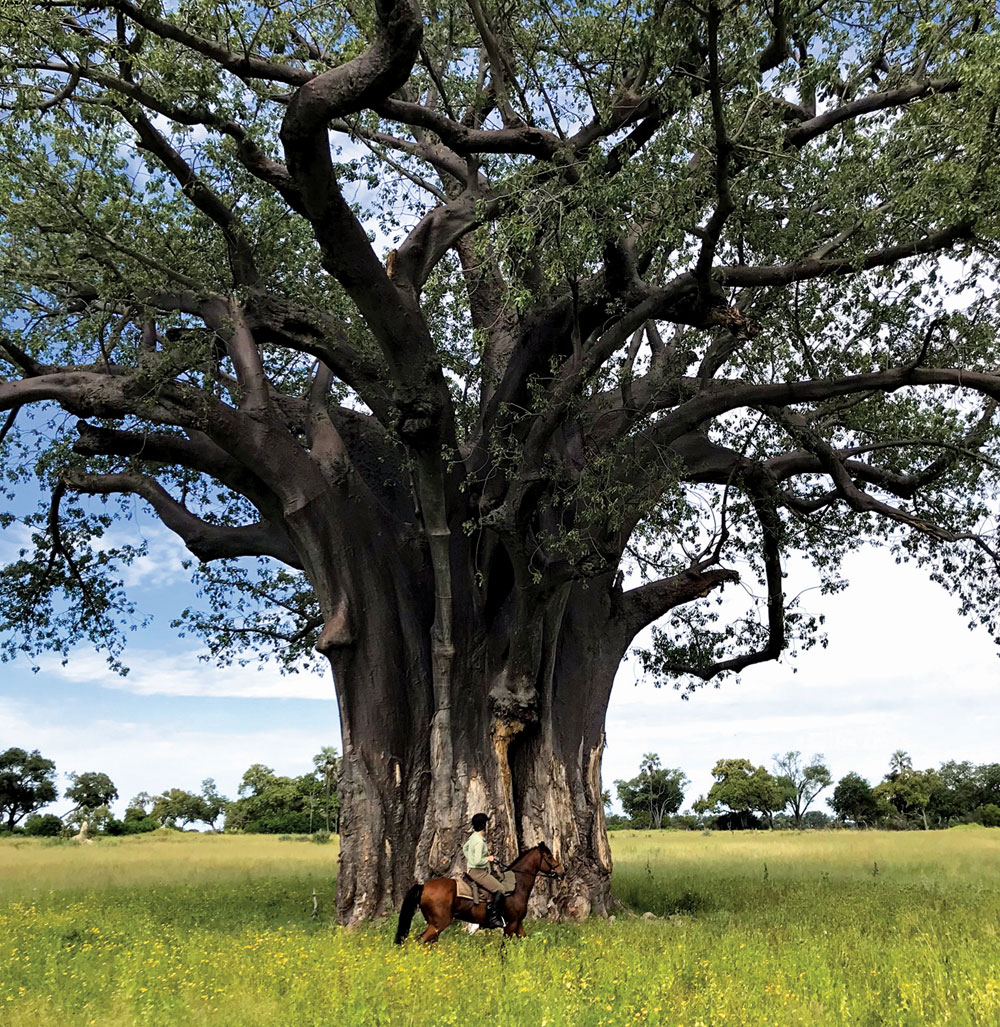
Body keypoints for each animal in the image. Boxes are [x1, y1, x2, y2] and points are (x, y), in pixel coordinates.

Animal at [392, 846, 562, 940]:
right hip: (438, 924)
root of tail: (424, 886)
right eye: (549, 856)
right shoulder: (511, 924)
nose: (562, 872)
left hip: (434, 924)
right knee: (421, 941)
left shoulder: (518, 924)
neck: (516, 885)